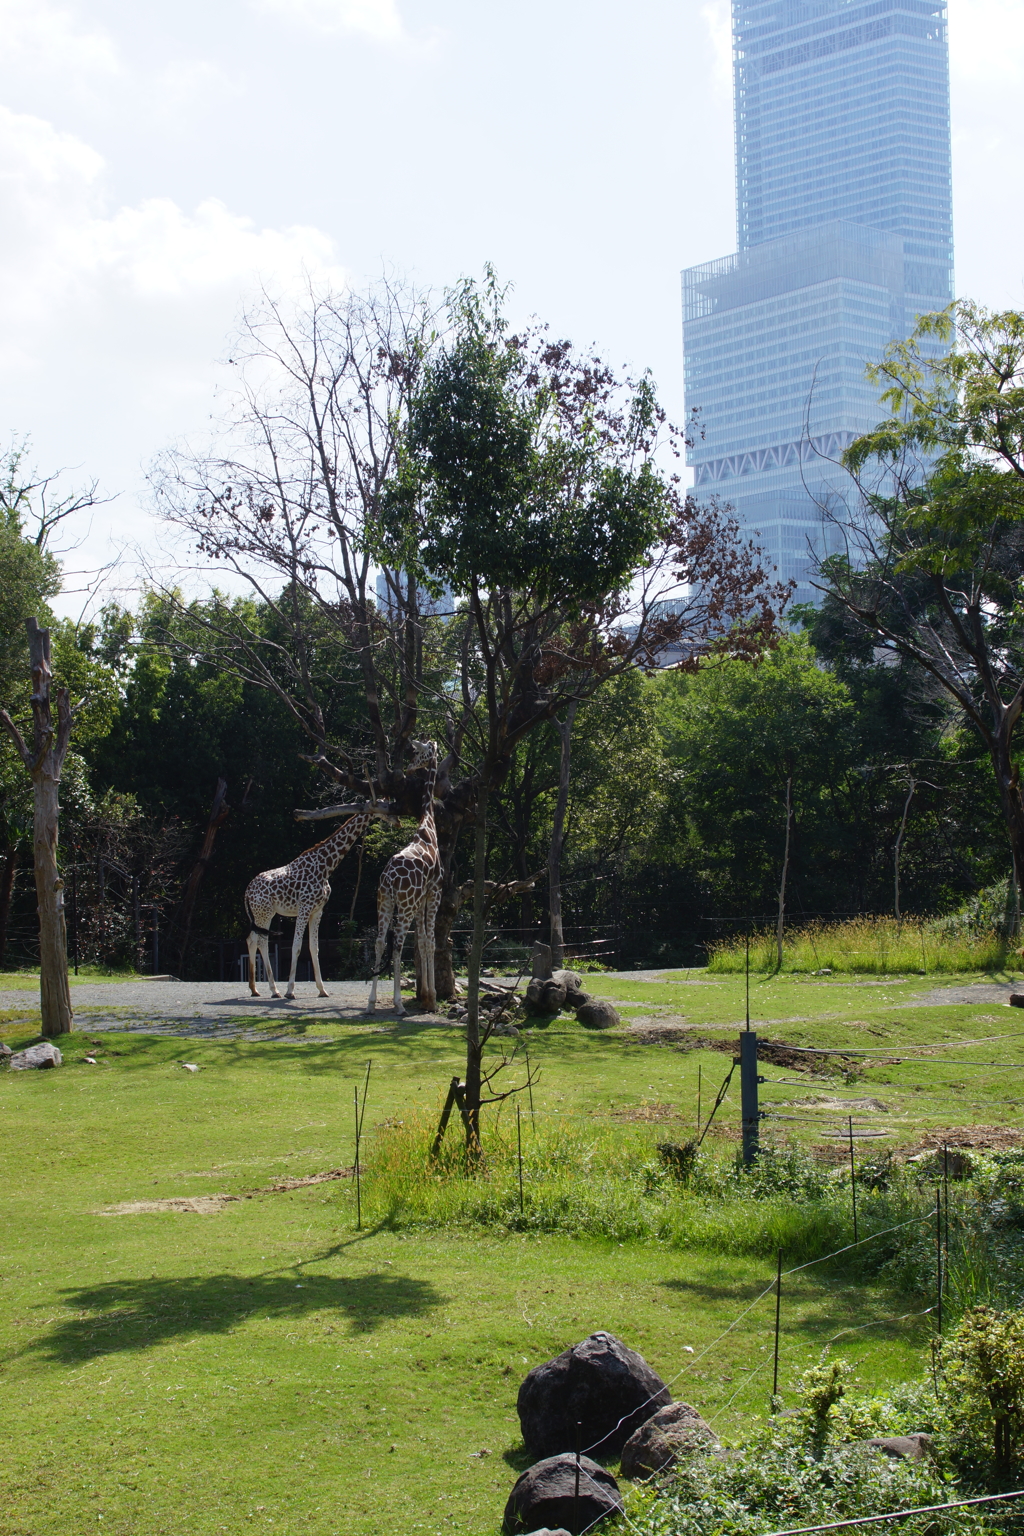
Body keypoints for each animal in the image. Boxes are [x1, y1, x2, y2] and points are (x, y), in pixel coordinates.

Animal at [244, 798, 396, 1001]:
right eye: (384, 807)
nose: (397, 821)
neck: (326, 866)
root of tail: (247, 891)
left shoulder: (317, 910)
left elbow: (314, 948)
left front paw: (322, 990)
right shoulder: (304, 907)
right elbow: (296, 946)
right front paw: (290, 991)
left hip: (259, 915)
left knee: (251, 940)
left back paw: (255, 989)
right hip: (265, 913)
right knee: (261, 942)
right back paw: (274, 990)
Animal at [373, 737, 445, 1013]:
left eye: (418, 751)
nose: (411, 767)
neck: (427, 825)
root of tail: (389, 878)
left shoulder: (421, 898)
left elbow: (422, 940)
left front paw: (425, 996)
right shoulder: (435, 891)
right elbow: (431, 940)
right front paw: (431, 998)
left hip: (385, 901)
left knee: (380, 942)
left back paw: (371, 1003)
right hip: (403, 904)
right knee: (397, 945)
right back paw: (398, 1005)